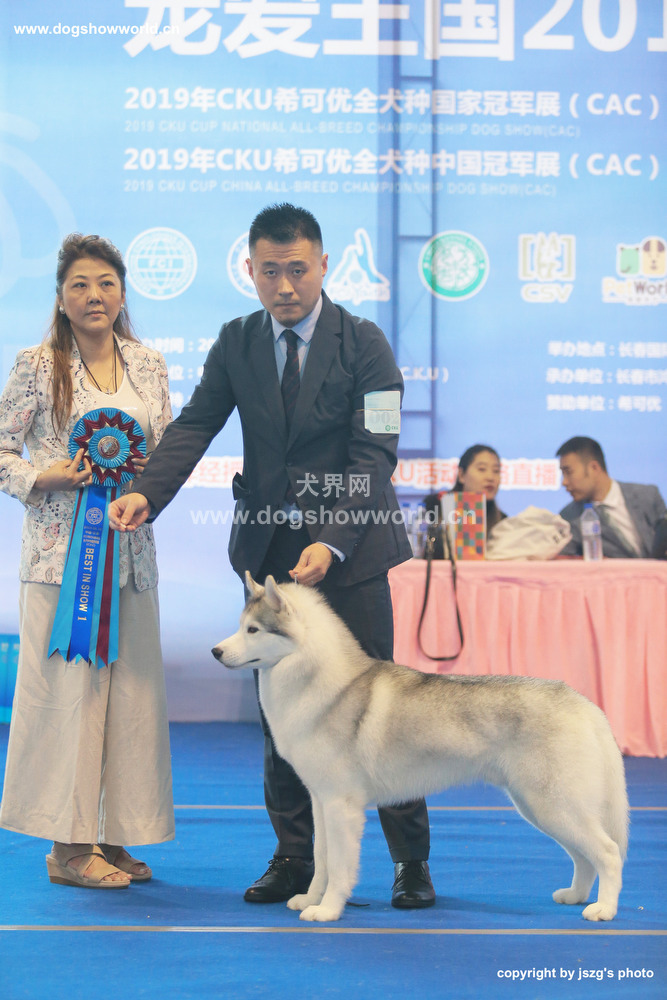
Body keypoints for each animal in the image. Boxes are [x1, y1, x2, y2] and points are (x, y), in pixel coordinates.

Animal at [212, 572, 628, 924]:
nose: (215, 651)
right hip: (539, 807)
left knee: (607, 852)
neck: (322, 684)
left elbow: (341, 866)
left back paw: (603, 909)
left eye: (252, 629)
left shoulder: (341, 806)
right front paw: (310, 899)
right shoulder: (321, 801)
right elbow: (322, 858)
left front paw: (328, 910)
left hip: (553, 804)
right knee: (583, 856)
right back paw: (575, 895)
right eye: (240, 626)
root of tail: (583, 703)